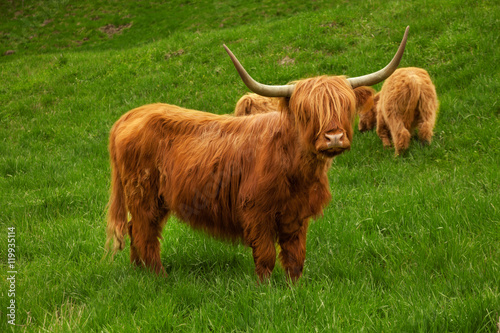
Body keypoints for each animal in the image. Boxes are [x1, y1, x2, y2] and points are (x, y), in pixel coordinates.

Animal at [107, 27, 408, 280]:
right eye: (306, 111)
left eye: (345, 106)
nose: (334, 137)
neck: (297, 170)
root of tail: (131, 114)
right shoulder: (256, 211)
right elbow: (265, 256)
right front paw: (265, 287)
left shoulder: (297, 215)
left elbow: (295, 256)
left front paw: (293, 287)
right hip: (143, 195)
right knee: (145, 233)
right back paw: (159, 276)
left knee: (136, 229)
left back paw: (139, 271)